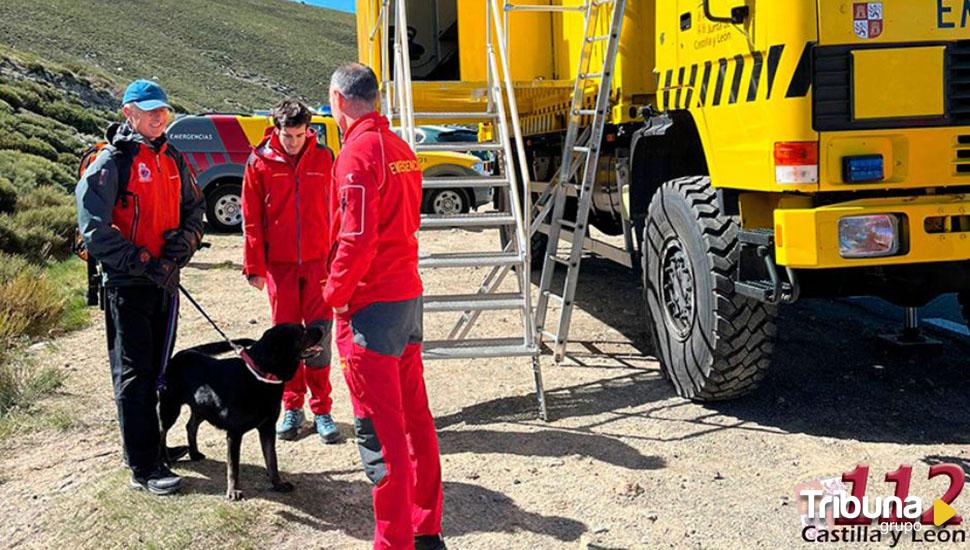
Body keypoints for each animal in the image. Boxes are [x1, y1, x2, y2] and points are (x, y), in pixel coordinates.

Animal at [159, 326, 324, 502]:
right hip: (170, 408)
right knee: (162, 432)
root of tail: (181, 354)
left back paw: (194, 453)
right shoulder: (234, 434)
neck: (259, 376)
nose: (320, 329)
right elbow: (234, 467)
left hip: (202, 407)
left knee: (190, 426)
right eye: (301, 333)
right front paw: (233, 491)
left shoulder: (268, 428)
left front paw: (278, 484)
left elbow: (272, 460)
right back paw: (166, 461)